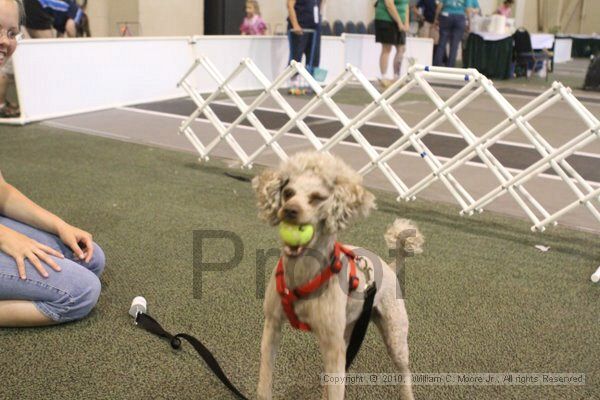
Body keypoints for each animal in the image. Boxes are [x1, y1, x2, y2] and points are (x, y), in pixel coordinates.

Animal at [252, 152, 422, 398]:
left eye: (317, 198)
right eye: (288, 192)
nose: (289, 211)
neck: (303, 273)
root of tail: (390, 266)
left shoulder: (332, 346)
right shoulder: (272, 326)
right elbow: (264, 384)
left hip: (395, 337)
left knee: (405, 373)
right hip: (349, 329)